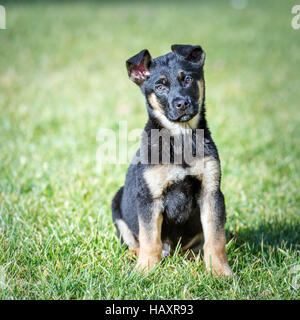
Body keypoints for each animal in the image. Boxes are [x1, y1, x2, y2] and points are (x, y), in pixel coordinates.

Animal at [112, 43, 232, 276]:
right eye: (160, 87)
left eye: (188, 79)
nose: (182, 103)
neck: (180, 137)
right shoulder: (149, 198)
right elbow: (150, 239)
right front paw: (145, 270)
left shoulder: (211, 192)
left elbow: (215, 238)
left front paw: (220, 271)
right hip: (116, 202)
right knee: (134, 242)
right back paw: (135, 257)